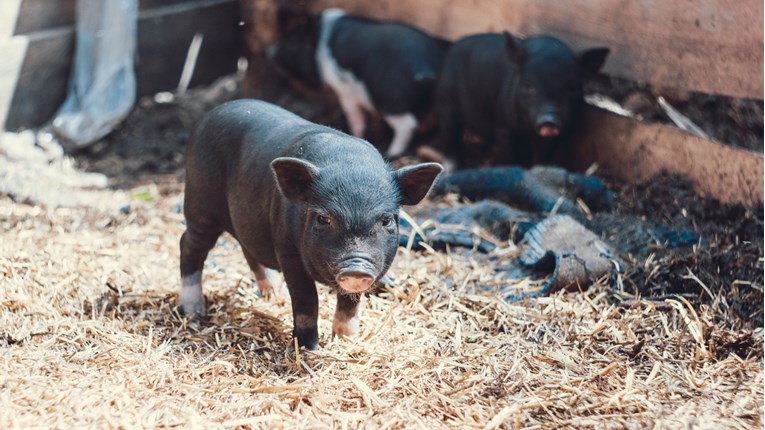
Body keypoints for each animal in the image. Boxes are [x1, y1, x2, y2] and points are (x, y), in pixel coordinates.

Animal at [181, 100, 442, 350]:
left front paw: (346, 342)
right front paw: (308, 349)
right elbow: (307, 300)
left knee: (249, 250)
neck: (350, 164)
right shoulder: (288, 250)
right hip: (200, 203)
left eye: (386, 220)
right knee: (189, 245)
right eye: (323, 219)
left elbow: (350, 302)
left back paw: (274, 296)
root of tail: (209, 116)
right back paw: (194, 313)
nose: (356, 268)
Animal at [268, 7, 450, 158]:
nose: (269, 51)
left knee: (408, 125)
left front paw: (356, 134)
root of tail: (427, 67)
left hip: (392, 99)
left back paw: (392, 152)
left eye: (292, 43)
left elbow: (356, 118)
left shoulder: (344, 90)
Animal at [436, 31, 608, 170]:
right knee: (449, 131)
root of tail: (453, 47)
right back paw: (452, 167)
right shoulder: (504, 125)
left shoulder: (564, 131)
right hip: (446, 100)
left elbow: (546, 154)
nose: (549, 121)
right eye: (528, 86)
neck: (529, 132)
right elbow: (508, 154)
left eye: (572, 87)